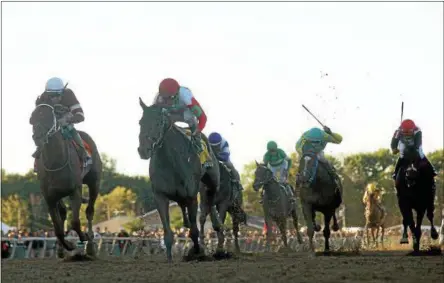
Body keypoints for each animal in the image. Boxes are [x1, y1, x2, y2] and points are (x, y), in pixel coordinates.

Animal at [29, 103, 101, 258]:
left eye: (49, 117)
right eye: (32, 118)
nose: (38, 136)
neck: (55, 162)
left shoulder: (75, 191)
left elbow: (75, 221)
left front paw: (83, 237)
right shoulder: (50, 198)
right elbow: (57, 228)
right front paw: (68, 245)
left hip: (94, 182)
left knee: (89, 211)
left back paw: (90, 246)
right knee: (62, 214)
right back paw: (61, 250)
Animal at [137, 98, 224, 262]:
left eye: (159, 122)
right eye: (141, 122)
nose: (143, 150)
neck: (171, 161)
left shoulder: (191, 196)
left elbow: (194, 231)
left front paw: (197, 252)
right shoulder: (160, 196)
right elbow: (168, 233)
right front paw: (170, 259)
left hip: (212, 182)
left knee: (210, 202)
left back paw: (217, 228)